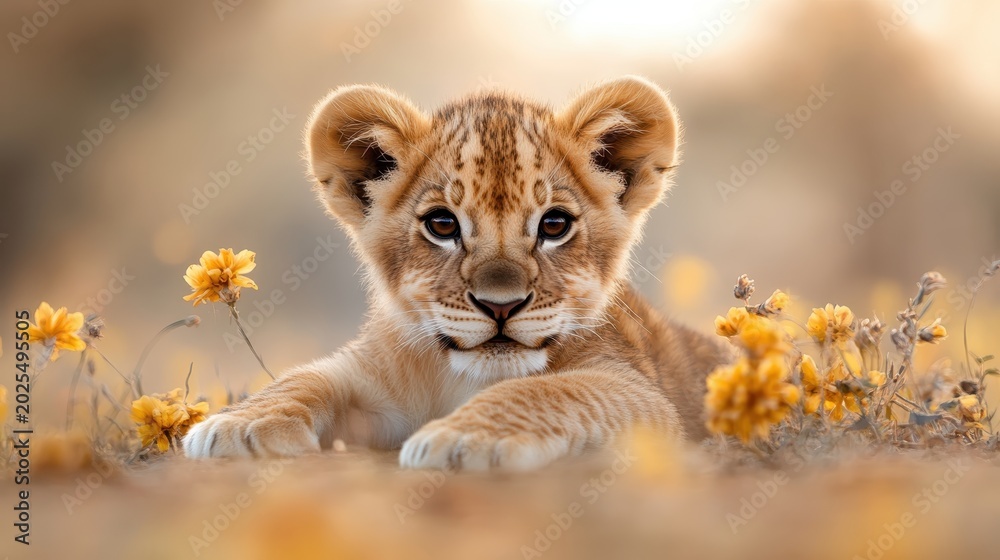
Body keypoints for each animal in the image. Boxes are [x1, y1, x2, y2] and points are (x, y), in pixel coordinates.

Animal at [183, 76, 732, 471]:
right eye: (442, 225)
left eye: (554, 225)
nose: (500, 306)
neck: (463, 378)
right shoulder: (372, 375)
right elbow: (306, 377)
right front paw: (234, 423)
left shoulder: (641, 394)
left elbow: (546, 389)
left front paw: (460, 435)